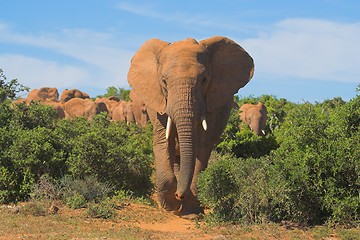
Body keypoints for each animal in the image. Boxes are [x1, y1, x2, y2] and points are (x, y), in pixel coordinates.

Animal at [128, 36, 255, 218]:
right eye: (164, 81)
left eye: (204, 80)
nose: (179, 195)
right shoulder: (158, 101)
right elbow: (163, 142)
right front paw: (170, 206)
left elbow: (202, 148)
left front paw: (191, 213)